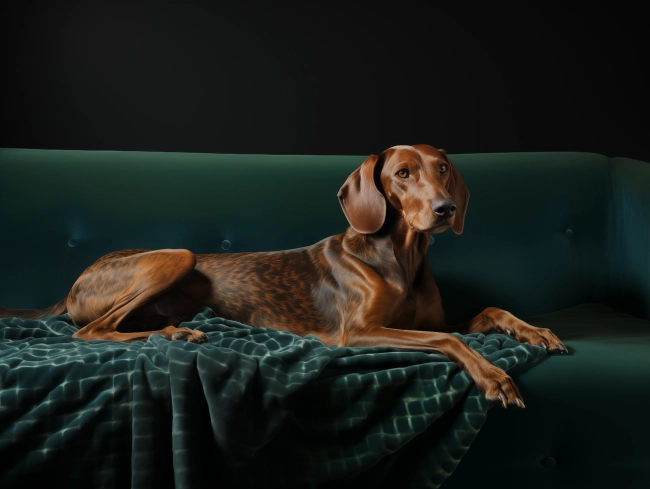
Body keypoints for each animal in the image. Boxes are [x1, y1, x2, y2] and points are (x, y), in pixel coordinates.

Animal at [1, 145, 560, 408]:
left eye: (442, 168)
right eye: (402, 173)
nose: (446, 210)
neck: (401, 257)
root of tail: (76, 280)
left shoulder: (432, 319)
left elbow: (487, 310)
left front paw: (536, 331)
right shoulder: (359, 332)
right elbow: (449, 339)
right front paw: (494, 377)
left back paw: (175, 329)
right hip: (176, 255)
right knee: (91, 331)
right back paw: (174, 334)